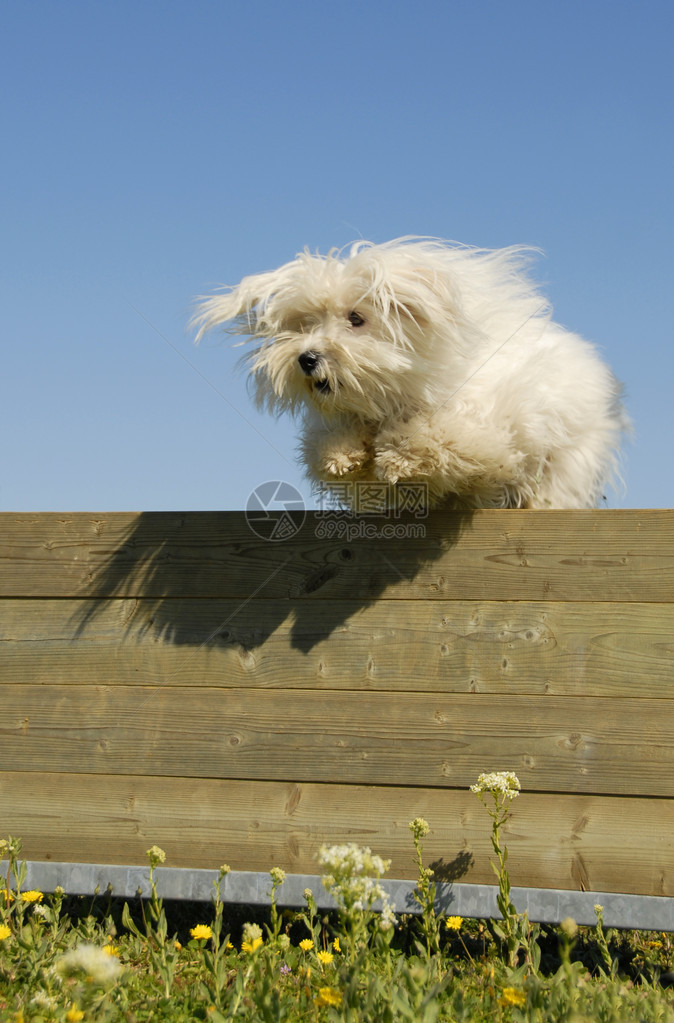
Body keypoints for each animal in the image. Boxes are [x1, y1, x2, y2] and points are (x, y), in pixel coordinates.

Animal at [192, 239, 630, 511]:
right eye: (305, 323)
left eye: (356, 318)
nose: (307, 358)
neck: (395, 394)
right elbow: (336, 447)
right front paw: (345, 455)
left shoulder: (484, 429)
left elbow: (436, 435)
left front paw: (397, 456)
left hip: (571, 459)